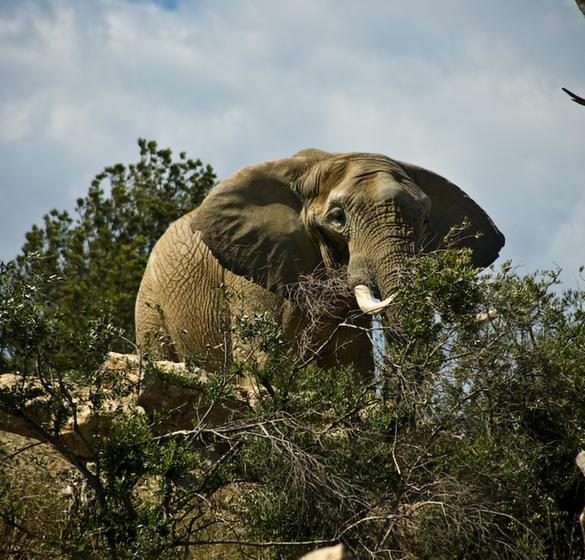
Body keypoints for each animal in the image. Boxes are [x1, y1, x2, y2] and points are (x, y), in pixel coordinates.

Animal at [135, 149, 504, 376]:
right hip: (150, 305)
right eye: (338, 218)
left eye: (426, 221)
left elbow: (353, 366)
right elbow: (261, 359)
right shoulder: (249, 278)